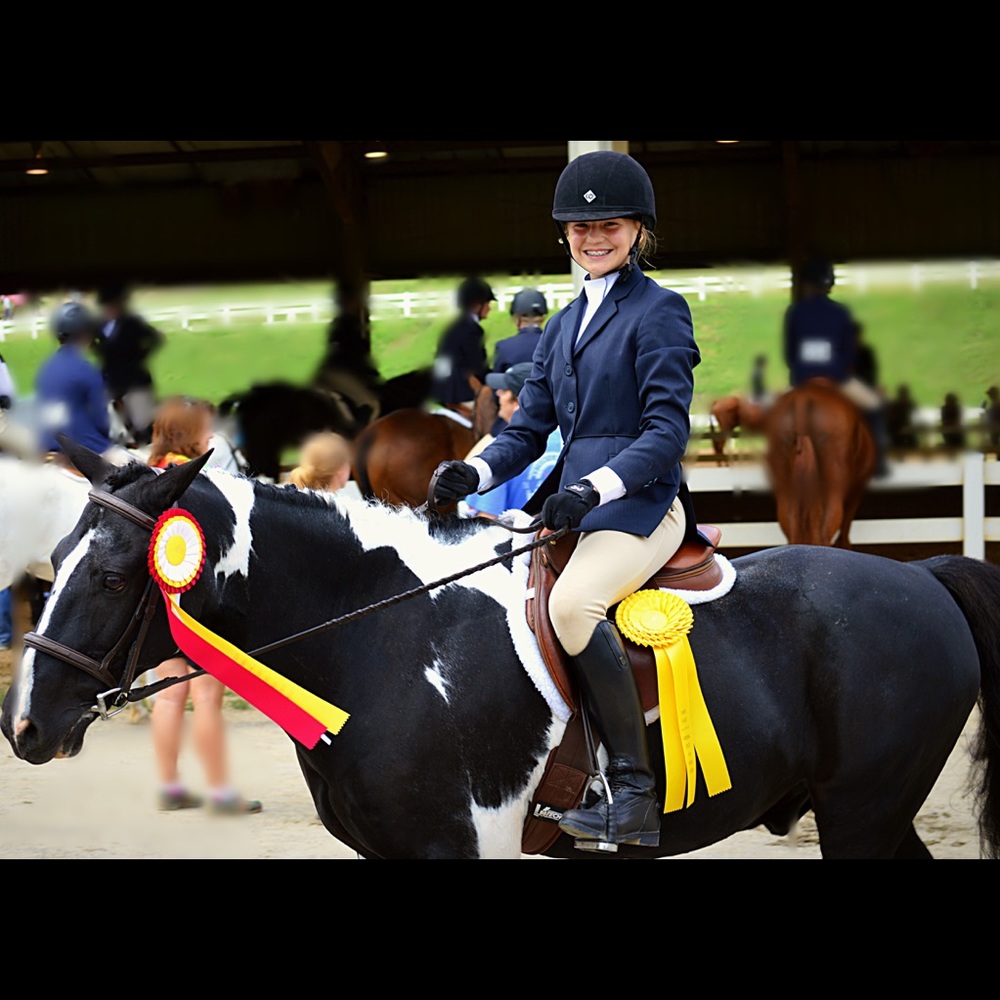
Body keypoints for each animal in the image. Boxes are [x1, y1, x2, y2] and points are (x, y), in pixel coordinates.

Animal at [4, 439, 1000, 859]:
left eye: (110, 579)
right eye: (55, 559)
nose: (25, 727)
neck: (377, 637)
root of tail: (921, 576)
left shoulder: (452, 847)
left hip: (863, 811)